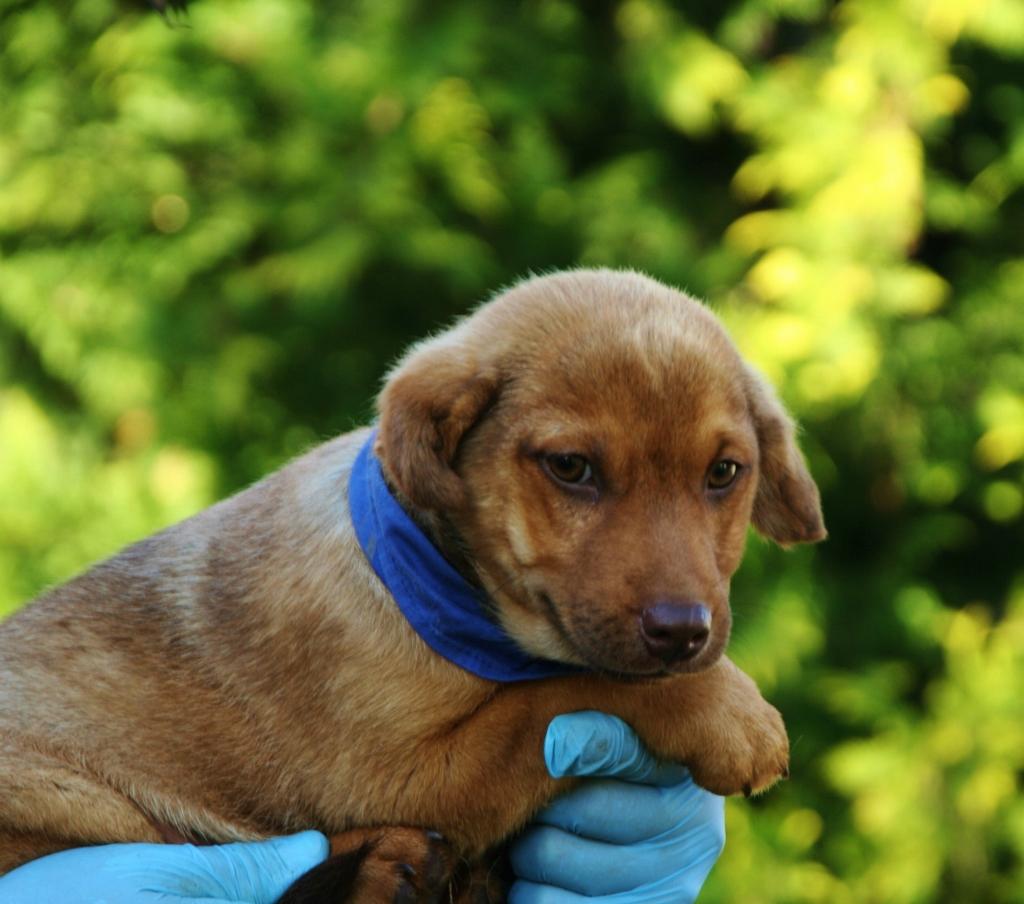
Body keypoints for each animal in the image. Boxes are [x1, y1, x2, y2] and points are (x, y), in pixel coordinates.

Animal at [0, 269, 825, 901]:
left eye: (724, 473)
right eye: (571, 468)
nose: (683, 632)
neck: (442, 596)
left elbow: (564, 684)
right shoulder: (403, 776)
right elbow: (564, 690)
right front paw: (730, 713)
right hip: (65, 791)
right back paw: (381, 868)